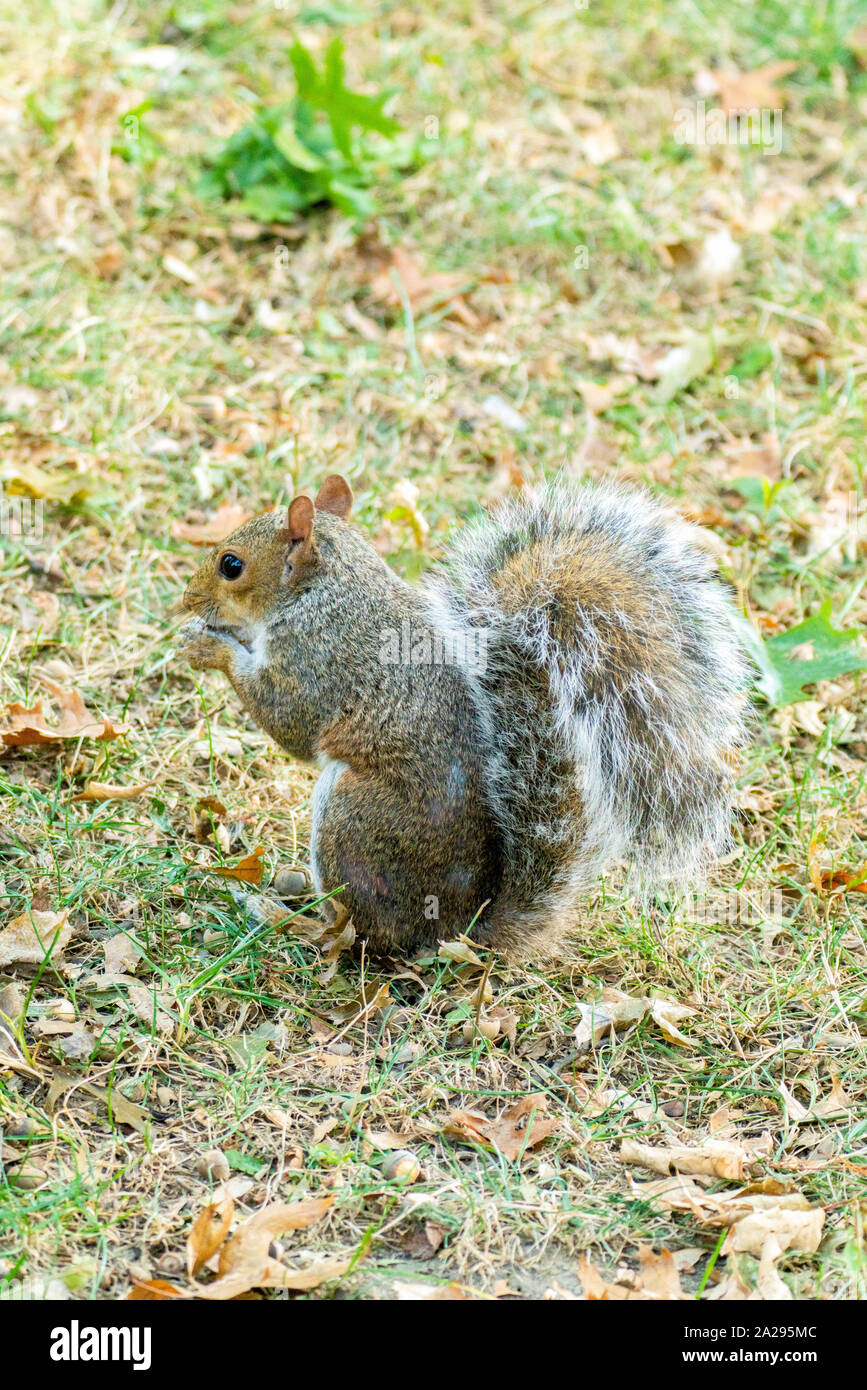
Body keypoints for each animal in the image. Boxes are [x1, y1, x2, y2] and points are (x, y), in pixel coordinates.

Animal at [179, 474, 749, 955]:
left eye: (231, 564)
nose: (187, 598)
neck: (324, 590)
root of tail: (455, 929)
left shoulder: (318, 660)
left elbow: (290, 719)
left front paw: (209, 648)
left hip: (351, 818)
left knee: (357, 934)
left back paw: (289, 921)